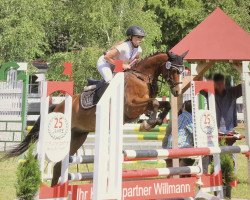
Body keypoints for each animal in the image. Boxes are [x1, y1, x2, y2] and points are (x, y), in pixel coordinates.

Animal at [4, 50, 188, 186]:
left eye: (183, 71)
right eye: (173, 70)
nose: (177, 92)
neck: (141, 77)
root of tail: (57, 107)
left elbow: (164, 104)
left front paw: (156, 120)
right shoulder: (131, 107)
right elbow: (155, 102)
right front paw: (148, 124)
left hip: (77, 137)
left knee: (57, 165)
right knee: (41, 158)